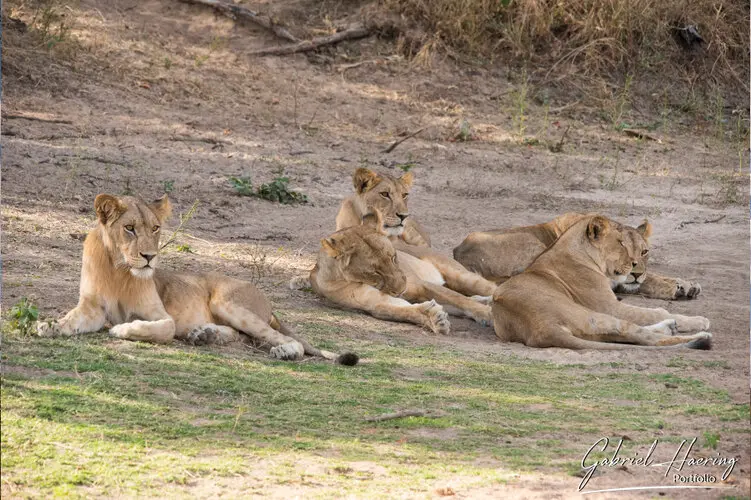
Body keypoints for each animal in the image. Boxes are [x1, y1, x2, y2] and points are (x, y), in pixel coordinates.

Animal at [36, 191, 360, 364]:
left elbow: (158, 328)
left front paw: (121, 329)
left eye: (155, 228)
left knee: (280, 339)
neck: (119, 269)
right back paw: (203, 335)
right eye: (129, 228)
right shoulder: (91, 307)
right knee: (241, 336)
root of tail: (267, 302)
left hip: (227, 302)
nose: (149, 256)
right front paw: (47, 326)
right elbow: (72, 319)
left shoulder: (162, 316)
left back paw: (283, 350)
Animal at [294, 211, 494, 332]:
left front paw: (488, 314)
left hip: (462, 276)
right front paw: (434, 318)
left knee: (487, 289)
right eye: (375, 272)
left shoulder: (422, 285)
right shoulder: (373, 302)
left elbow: (460, 299)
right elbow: (399, 310)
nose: (401, 289)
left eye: (393, 257)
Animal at [452, 212, 704, 298]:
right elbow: (647, 278)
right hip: (533, 245)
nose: (636, 272)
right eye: (621, 246)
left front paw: (686, 284)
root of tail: (458, 253)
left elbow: (651, 276)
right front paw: (678, 286)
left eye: (645, 251)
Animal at [490, 215, 712, 352]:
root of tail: (541, 328)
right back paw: (700, 335)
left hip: (591, 331)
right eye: (622, 245)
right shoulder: (610, 306)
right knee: (643, 336)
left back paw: (671, 328)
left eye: (644, 251)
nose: (638, 273)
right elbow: (656, 312)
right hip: (595, 315)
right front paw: (698, 320)